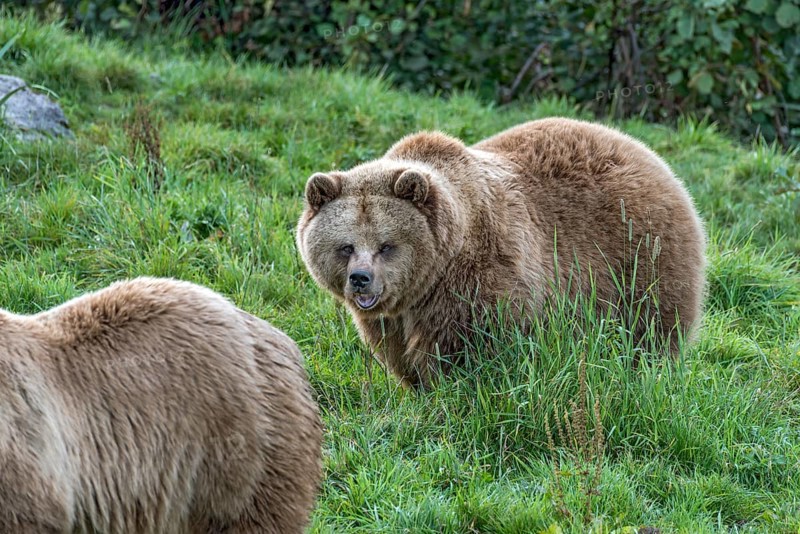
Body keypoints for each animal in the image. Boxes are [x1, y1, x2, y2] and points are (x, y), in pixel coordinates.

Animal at [296, 117, 707, 389]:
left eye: (386, 245)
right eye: (346, 246)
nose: (360, 280)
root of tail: (649, 155)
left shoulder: (479, 277)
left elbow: (472, 345)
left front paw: (457, 389)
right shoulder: (392, 315)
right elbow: (396, 350)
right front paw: (418, 387)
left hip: (638, 252)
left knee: (651, 324)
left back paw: (647, 369)